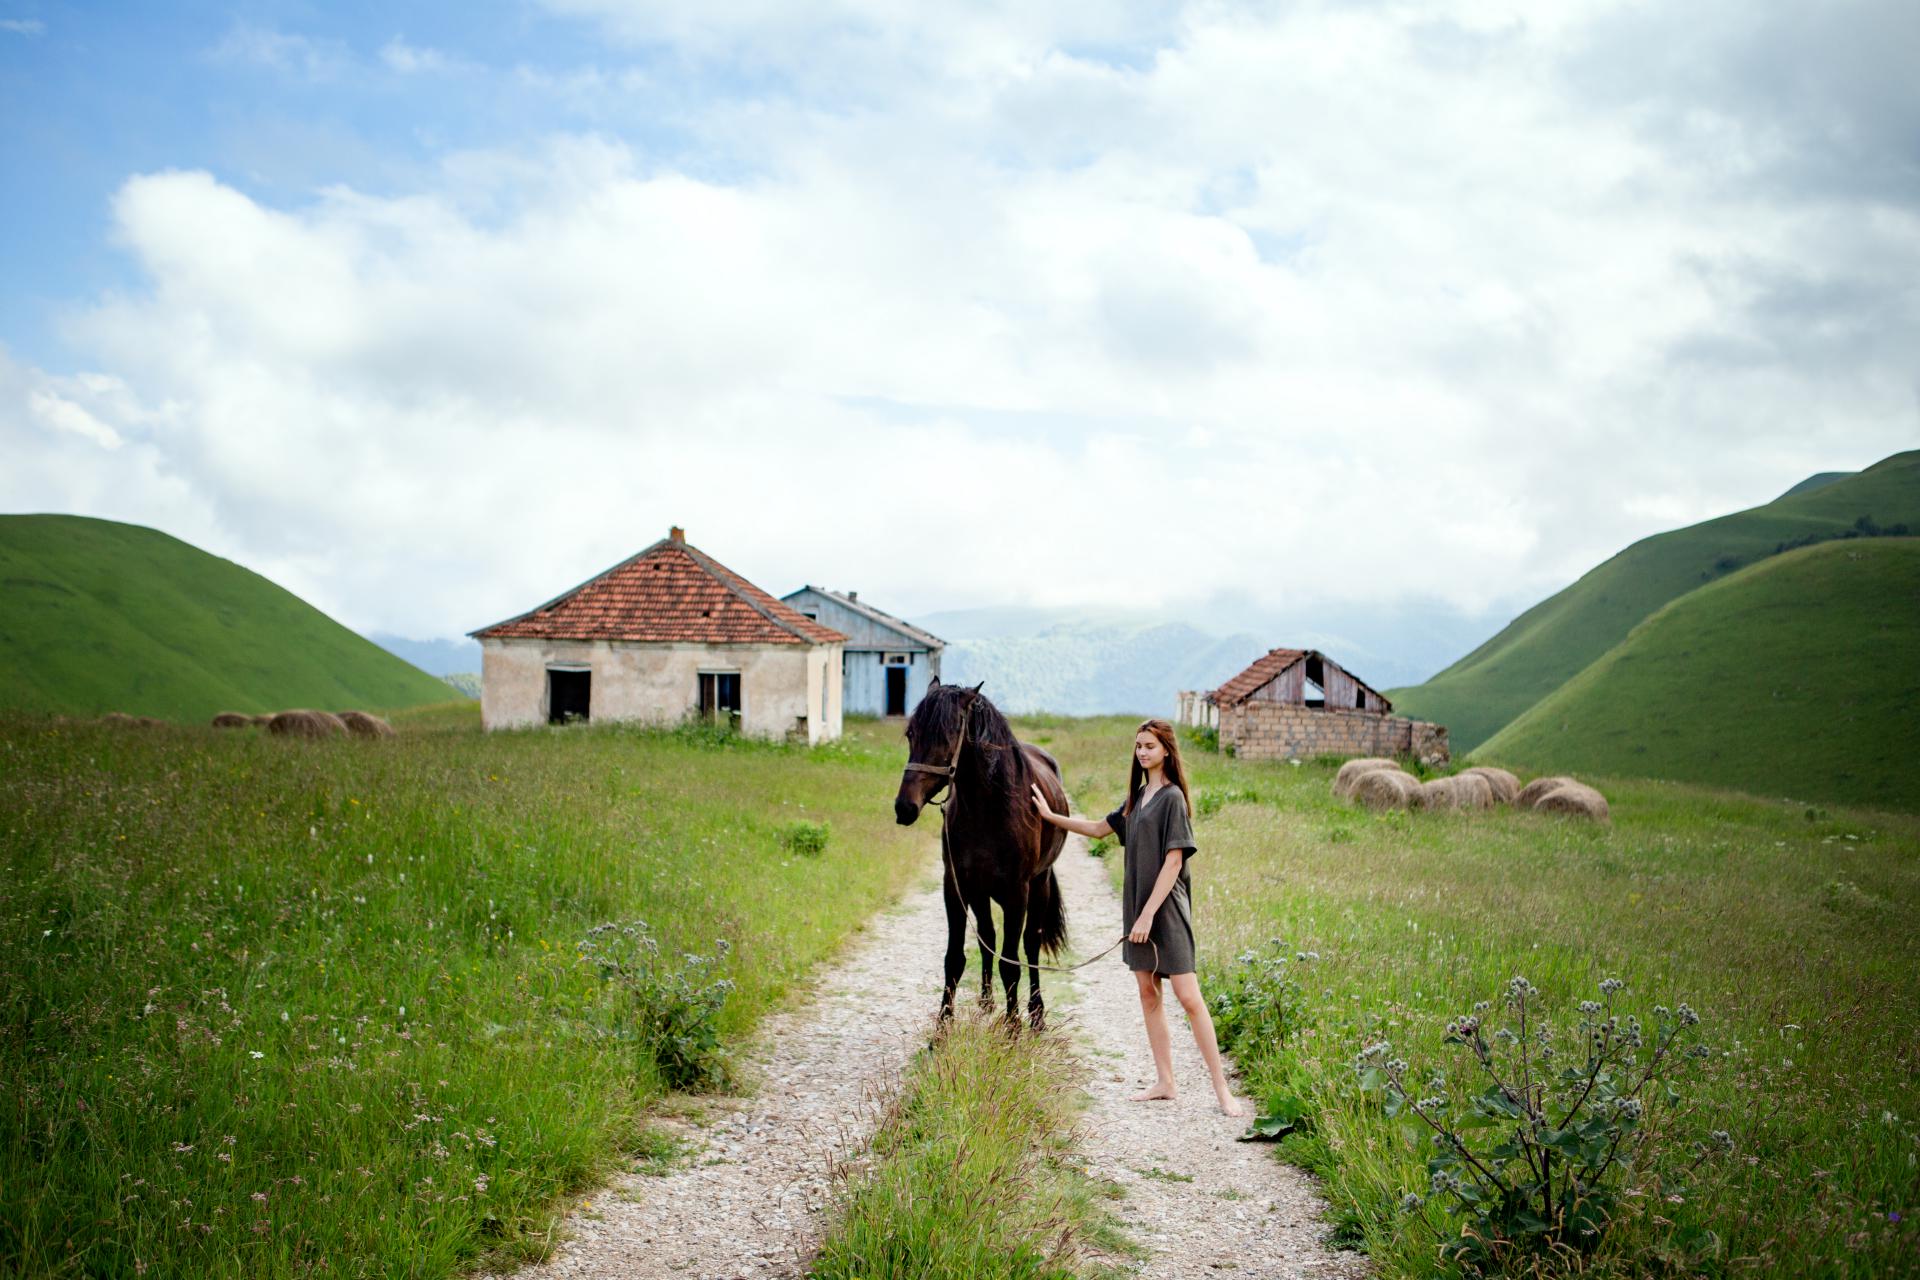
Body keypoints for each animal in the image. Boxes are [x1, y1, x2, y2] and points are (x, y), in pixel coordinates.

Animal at [894, 679, 1075, 1028]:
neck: (988, 810)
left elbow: (1012, 962)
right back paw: (987, 1001)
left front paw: (1014, 1028)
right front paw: (942, 1027)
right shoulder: (956, 888)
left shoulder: (1017, 893)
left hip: (1040, 883)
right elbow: (955, 958)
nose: (904, 807)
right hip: (981, 893)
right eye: (911, 733)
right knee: (988, 938)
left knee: (1031, 944)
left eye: (948, 735)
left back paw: (1036, 1014)